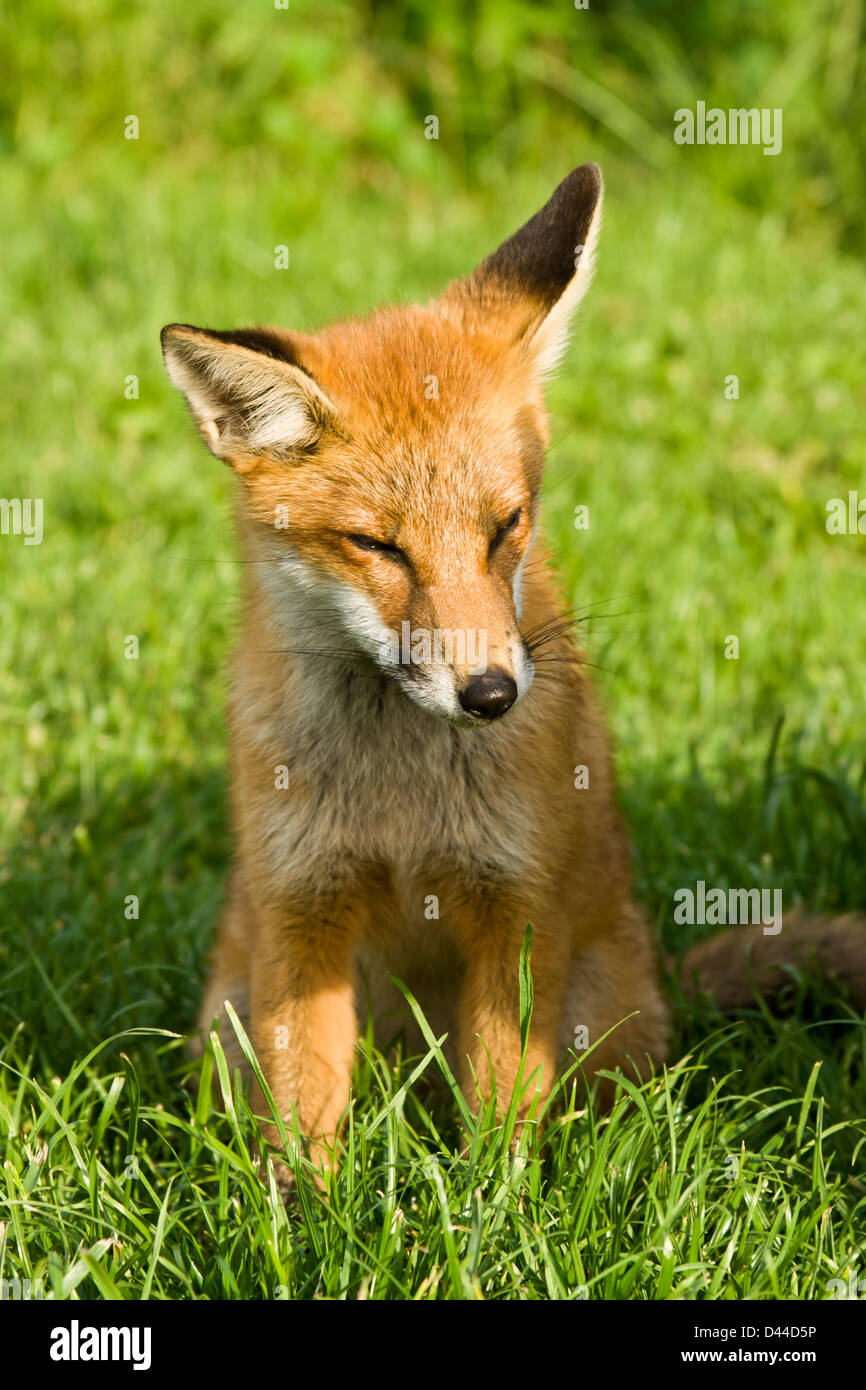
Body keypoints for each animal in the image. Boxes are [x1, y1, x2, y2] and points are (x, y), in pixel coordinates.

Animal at [159, 165, 861, 1184]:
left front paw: (493, 1210)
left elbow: (499, 1113)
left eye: (507, 525)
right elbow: (301, 1117)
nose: (490, 695)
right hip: (230, 1011)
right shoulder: (303, 909)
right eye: (378, 546)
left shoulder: (513, 907)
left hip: (598, 1015)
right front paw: (303, 1217)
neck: (402, 804)